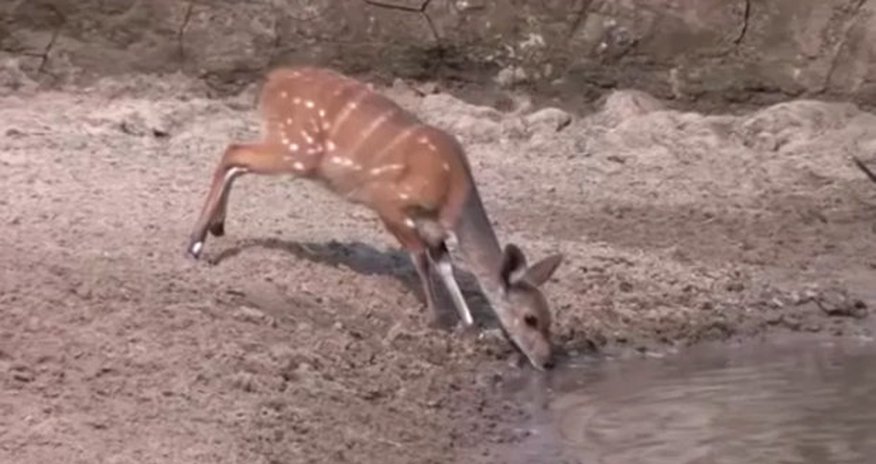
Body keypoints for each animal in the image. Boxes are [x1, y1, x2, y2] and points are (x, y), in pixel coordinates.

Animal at [186, 66, 564, 370]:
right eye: (530, 318)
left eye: (549, 319)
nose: (547, 362)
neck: (451, 194)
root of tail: (272, 81)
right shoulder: (388, 202)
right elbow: (420, 258)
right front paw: (435, 319)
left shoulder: (434, 231)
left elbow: (445, 266)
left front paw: (469, 326)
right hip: (298, 150)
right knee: (233, 151)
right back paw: (195, 244)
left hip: (290, 149)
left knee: (236, 159)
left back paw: (215, 228)